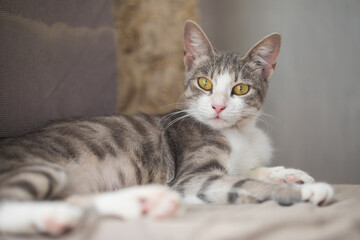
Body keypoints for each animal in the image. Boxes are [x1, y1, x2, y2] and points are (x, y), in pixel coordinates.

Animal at [0, 20, 334, 234]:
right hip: (44, 167)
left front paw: (291, 175)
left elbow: (248, 171)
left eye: (240, 89)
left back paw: (146, 203)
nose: (218, 106)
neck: (241, 133)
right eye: (205, 83)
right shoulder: (192, 178)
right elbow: (241, 182)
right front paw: (304, 190)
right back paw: (56, 216)